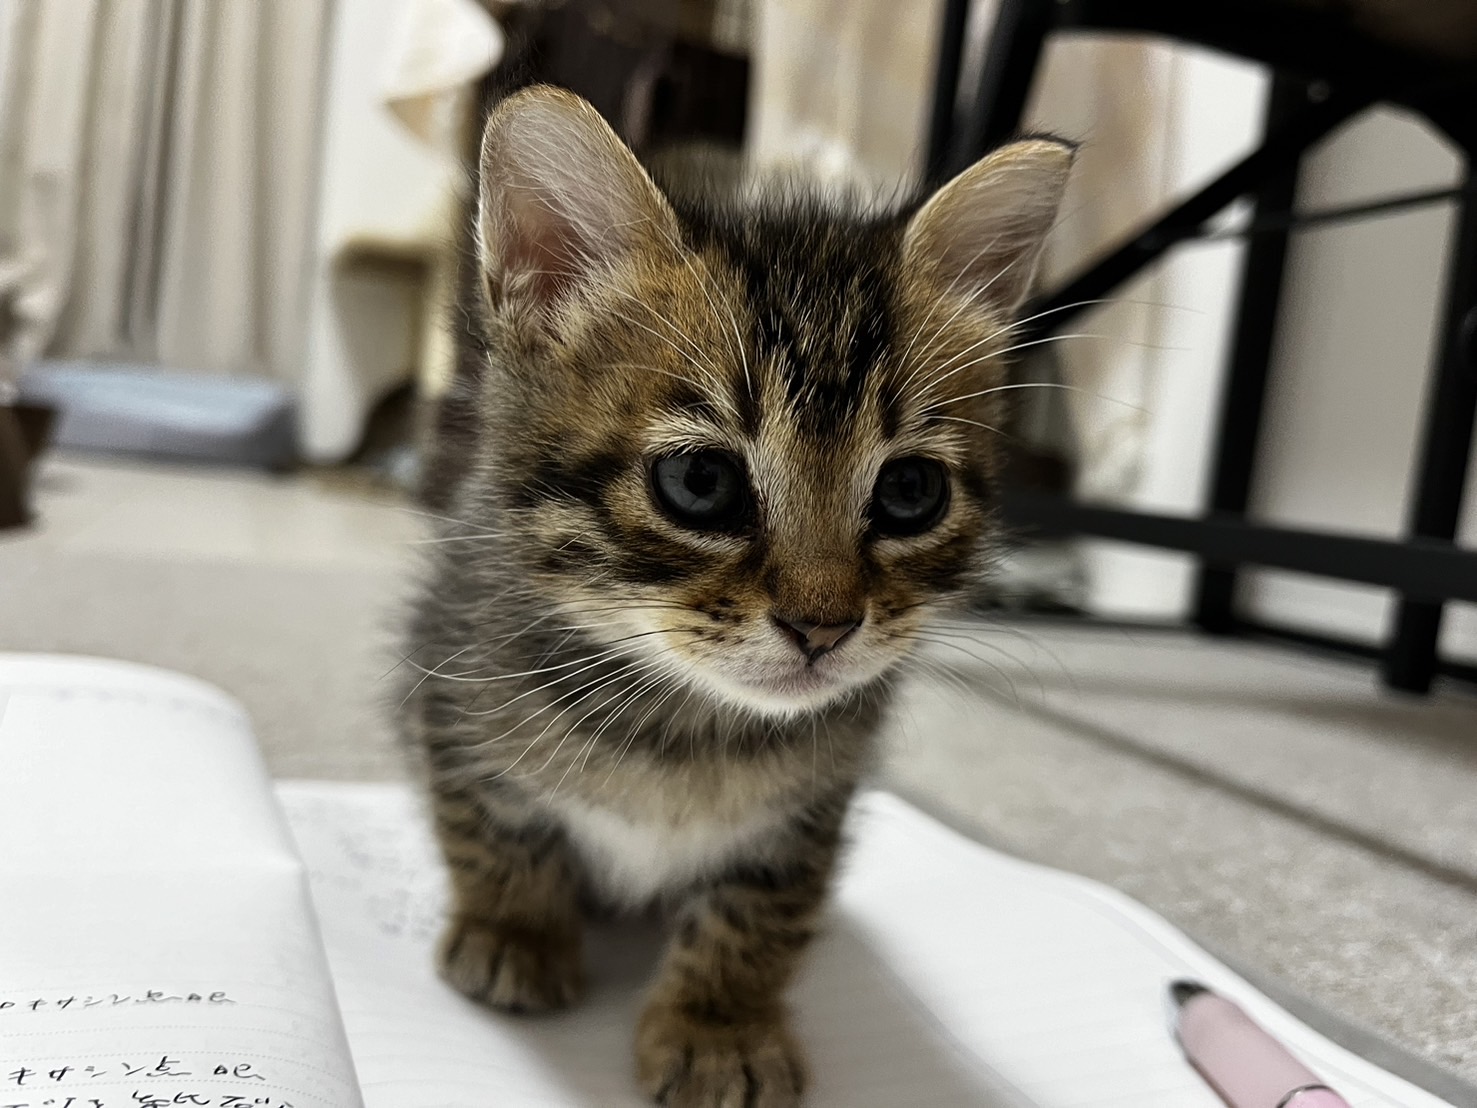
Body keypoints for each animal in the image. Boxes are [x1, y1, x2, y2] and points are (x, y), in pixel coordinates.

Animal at [399, 85, 1071, 1108]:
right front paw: (514, 928)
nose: (823, 627)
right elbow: (488, 822)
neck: (687, 727)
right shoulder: (451, 683)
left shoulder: (814, 803)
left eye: (910, 492)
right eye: (700, 482)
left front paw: (718, 1024)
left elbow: (763, 909)